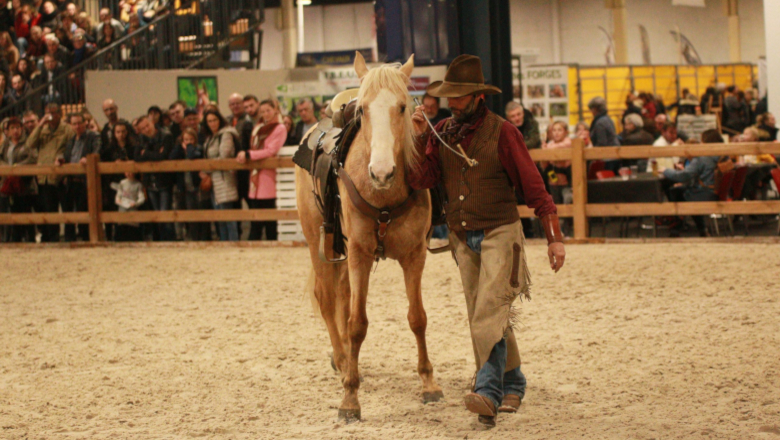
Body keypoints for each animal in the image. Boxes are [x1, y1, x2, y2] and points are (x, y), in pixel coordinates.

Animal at [296, 53, 442, 422]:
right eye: (362, 110)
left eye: (403, 107)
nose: (382, 172)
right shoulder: (361, 253)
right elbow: (357, 323)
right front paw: (350, 399)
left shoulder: (414, 255)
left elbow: (418, 318)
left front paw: (429, 384)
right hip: (317, 242)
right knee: (327, 299)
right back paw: (343, 360)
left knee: (343, 295)